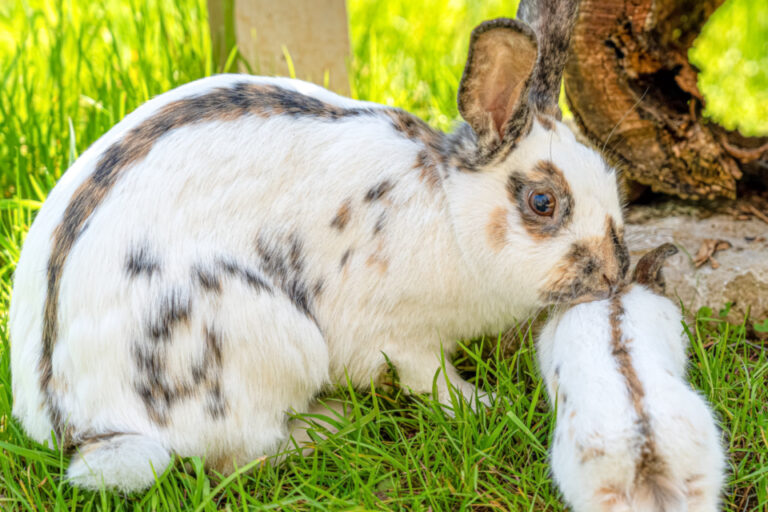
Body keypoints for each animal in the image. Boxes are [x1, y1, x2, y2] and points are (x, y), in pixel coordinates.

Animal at [9, 0, 630, 492]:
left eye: (609, 174)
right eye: (543, 202)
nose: (615, 273)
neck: (451, 211)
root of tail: (77, 423)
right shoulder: (400, 337)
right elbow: (431, 382)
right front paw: (483, 405)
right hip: (256, 338)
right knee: (243, 453)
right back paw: (330, 424)